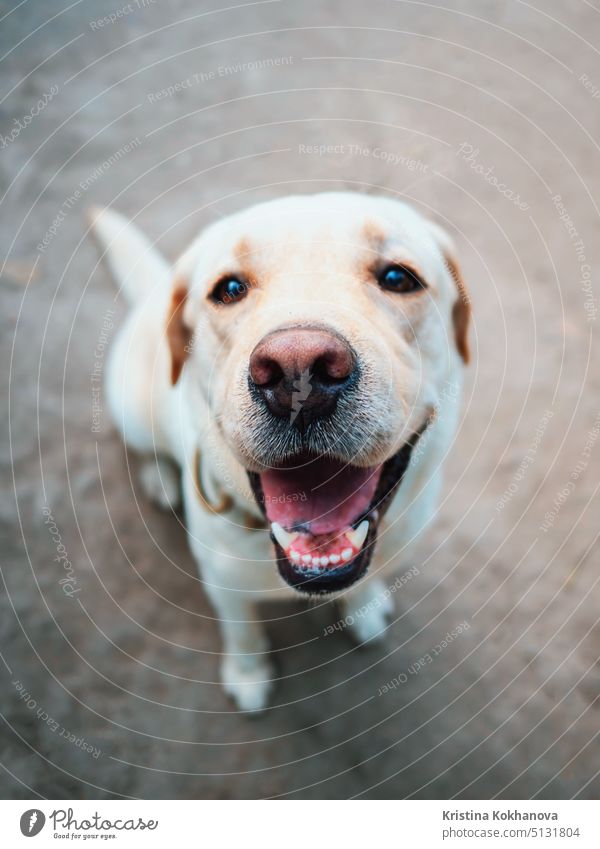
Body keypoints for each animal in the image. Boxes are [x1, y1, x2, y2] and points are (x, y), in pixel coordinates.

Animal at [91, 192, 472, 708]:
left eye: (398, 278)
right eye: (229, 288)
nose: (298, 370)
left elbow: (367, 581)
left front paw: (364, 607)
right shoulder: (223, 584)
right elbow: (242, 630)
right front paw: (248, 673)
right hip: (131, 404)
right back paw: (159, 476)